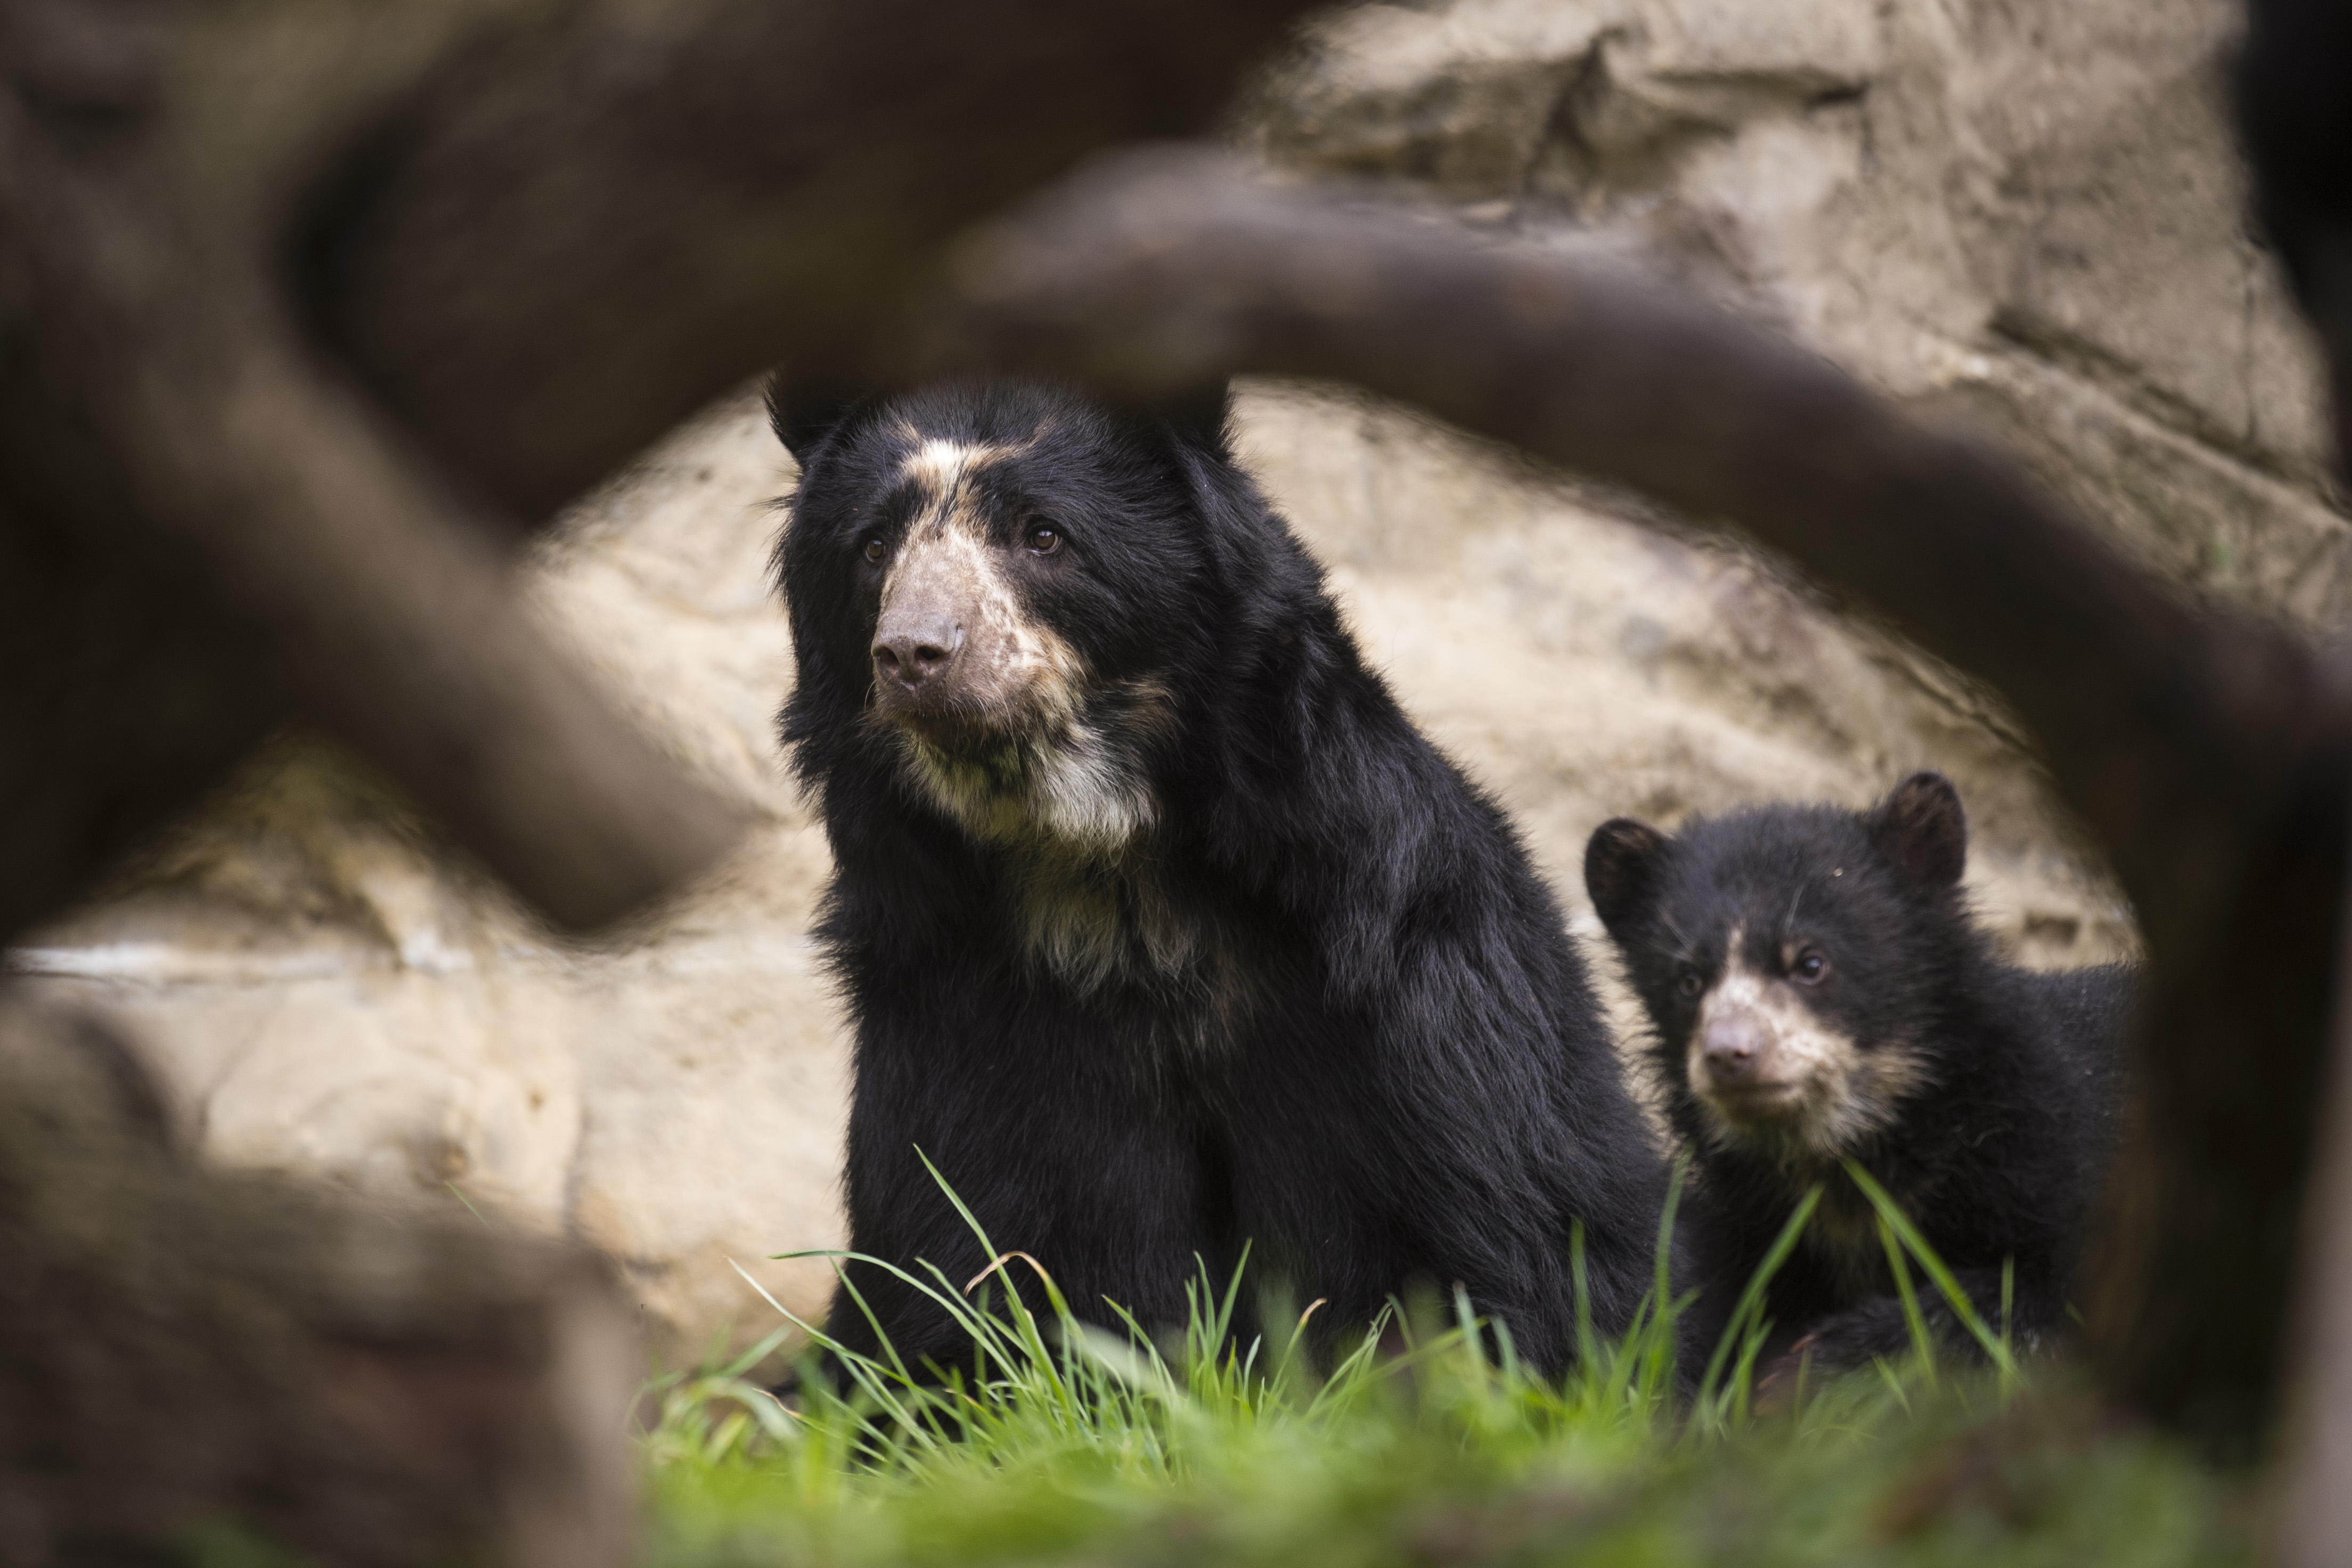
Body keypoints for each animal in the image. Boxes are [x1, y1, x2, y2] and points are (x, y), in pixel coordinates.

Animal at [769, 375, 1671, 1381]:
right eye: (872, 546)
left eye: (1043, 535)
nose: (917, 653)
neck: (1099, 870)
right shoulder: (949, 1010)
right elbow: (948, 1265)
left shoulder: (1400, 977)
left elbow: (1522, 1231)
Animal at [1582, 771, 2130, 1374]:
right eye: (1688, 980)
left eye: (1811, 963)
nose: (1729, 1054)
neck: (1846, 1153)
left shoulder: (2044, 1153)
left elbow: (2032, 1290)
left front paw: (1826, 1357)